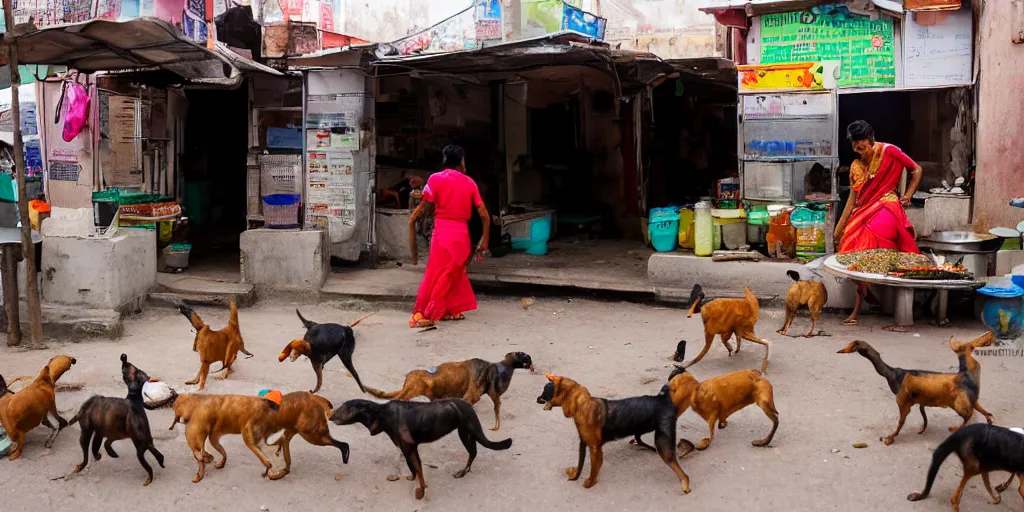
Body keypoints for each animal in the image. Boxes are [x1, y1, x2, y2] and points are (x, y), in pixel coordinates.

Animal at [69, 354, 164, 485]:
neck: (134, 400)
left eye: (136, 370)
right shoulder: (110, 432)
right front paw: (107, 453)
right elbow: (102, 444)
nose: (124, 357)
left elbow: (99, 445)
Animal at [331, 395, 516, 499]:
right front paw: (412, 479)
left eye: (345, 407)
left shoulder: (409, 446)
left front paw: (420, 491)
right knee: (474, 452)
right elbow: (412, 467)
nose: (330, 415)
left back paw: (462, 472)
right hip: (467, 433)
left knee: (473, 453)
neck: (381, 414)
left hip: (466, 432)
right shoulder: (407, 448)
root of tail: (468, 404)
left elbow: (418, 469)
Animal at [362, 350, 536, 430]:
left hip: (411, 388)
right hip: (413, 387)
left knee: (393, 395)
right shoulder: (470, 396)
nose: (530, 363)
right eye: (522, 355)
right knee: (397, 397)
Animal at [532, 374, 692, 493]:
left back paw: (686, 486)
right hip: (644, 430)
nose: (537, 398)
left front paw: (589, 483)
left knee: (682, 473)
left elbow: (593, 471)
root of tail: (663, 399)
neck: (581, 405)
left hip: (663, 444)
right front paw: (574, 476)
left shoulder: (595, 448)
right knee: (640, 439)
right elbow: (579, 465)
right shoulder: (583, 443)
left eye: (546, 389)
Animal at [839, 331, 991, 444]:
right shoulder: (920, 402)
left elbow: (900, 423)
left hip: (959, 404)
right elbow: (924, 417)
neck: (892, 374)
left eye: (853, 345)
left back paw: (954, 429)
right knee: (986, 414)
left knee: (969, 415)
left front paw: (889, 438)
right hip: (971, 400)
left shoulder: (903, 403)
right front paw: (921, 430)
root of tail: (966, 374)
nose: (841, 350)